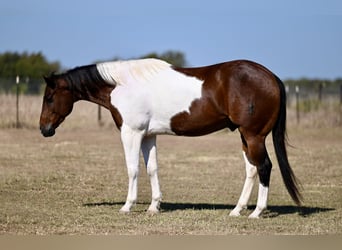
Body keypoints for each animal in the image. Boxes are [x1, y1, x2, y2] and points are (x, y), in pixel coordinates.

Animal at [39, 57, 302, 218]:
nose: (44, 129)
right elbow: (152, 168)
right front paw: (154, 206)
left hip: (254, 135)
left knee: (264, 167)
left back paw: (257, 212)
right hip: (245, 137)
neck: (122, 85)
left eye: (50, 98)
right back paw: (237, 210)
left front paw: (127, 206)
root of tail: (271, 76)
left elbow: (133, 169)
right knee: (252, 169)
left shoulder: (131, 133)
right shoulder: (148, 135)